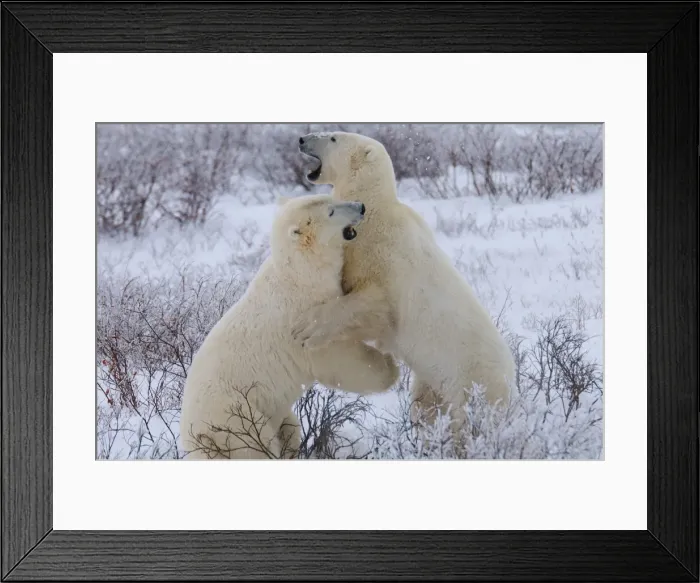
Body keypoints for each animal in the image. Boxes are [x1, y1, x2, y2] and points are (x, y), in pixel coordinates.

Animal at [179, 193, 399, 459]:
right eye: (331, 212)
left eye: (333, 198)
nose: (361, 207)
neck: (299, 274)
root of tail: (193, 437)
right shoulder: (303, 318)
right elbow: (334, 357)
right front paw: (388, 368)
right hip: (233, 414)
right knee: (256, 445)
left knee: (288, 426)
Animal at [293, 131, 515, 434]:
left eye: (333, 137)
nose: (302, 139)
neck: (376, 207)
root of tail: (512, 382)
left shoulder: (383, 257)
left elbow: (371, 304)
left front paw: (307, 326)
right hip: (433, 379)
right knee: (427, 406)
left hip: (473, 381)